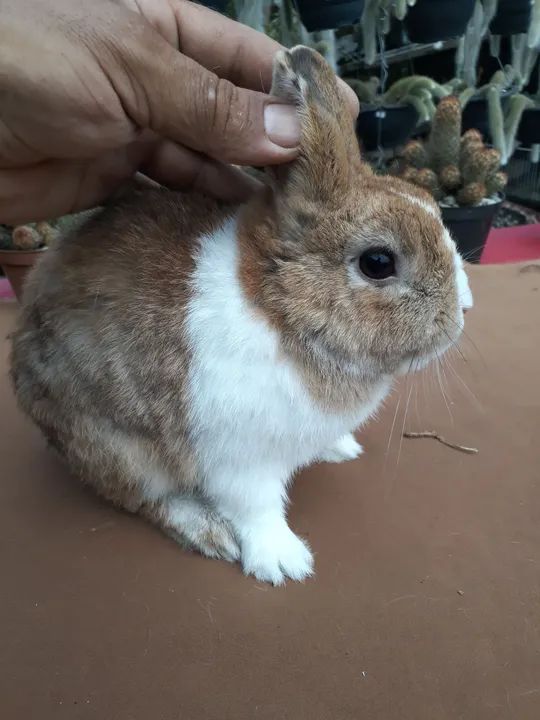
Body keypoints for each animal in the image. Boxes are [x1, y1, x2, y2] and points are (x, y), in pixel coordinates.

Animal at [10, 46, 473, 585]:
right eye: (378, 262)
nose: (463, 312)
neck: (281, 310)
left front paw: (340, 448)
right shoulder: (238, 458)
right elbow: (257, 509)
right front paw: (284, 563)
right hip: (117, 447)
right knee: (147, 497)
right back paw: (208, 532)